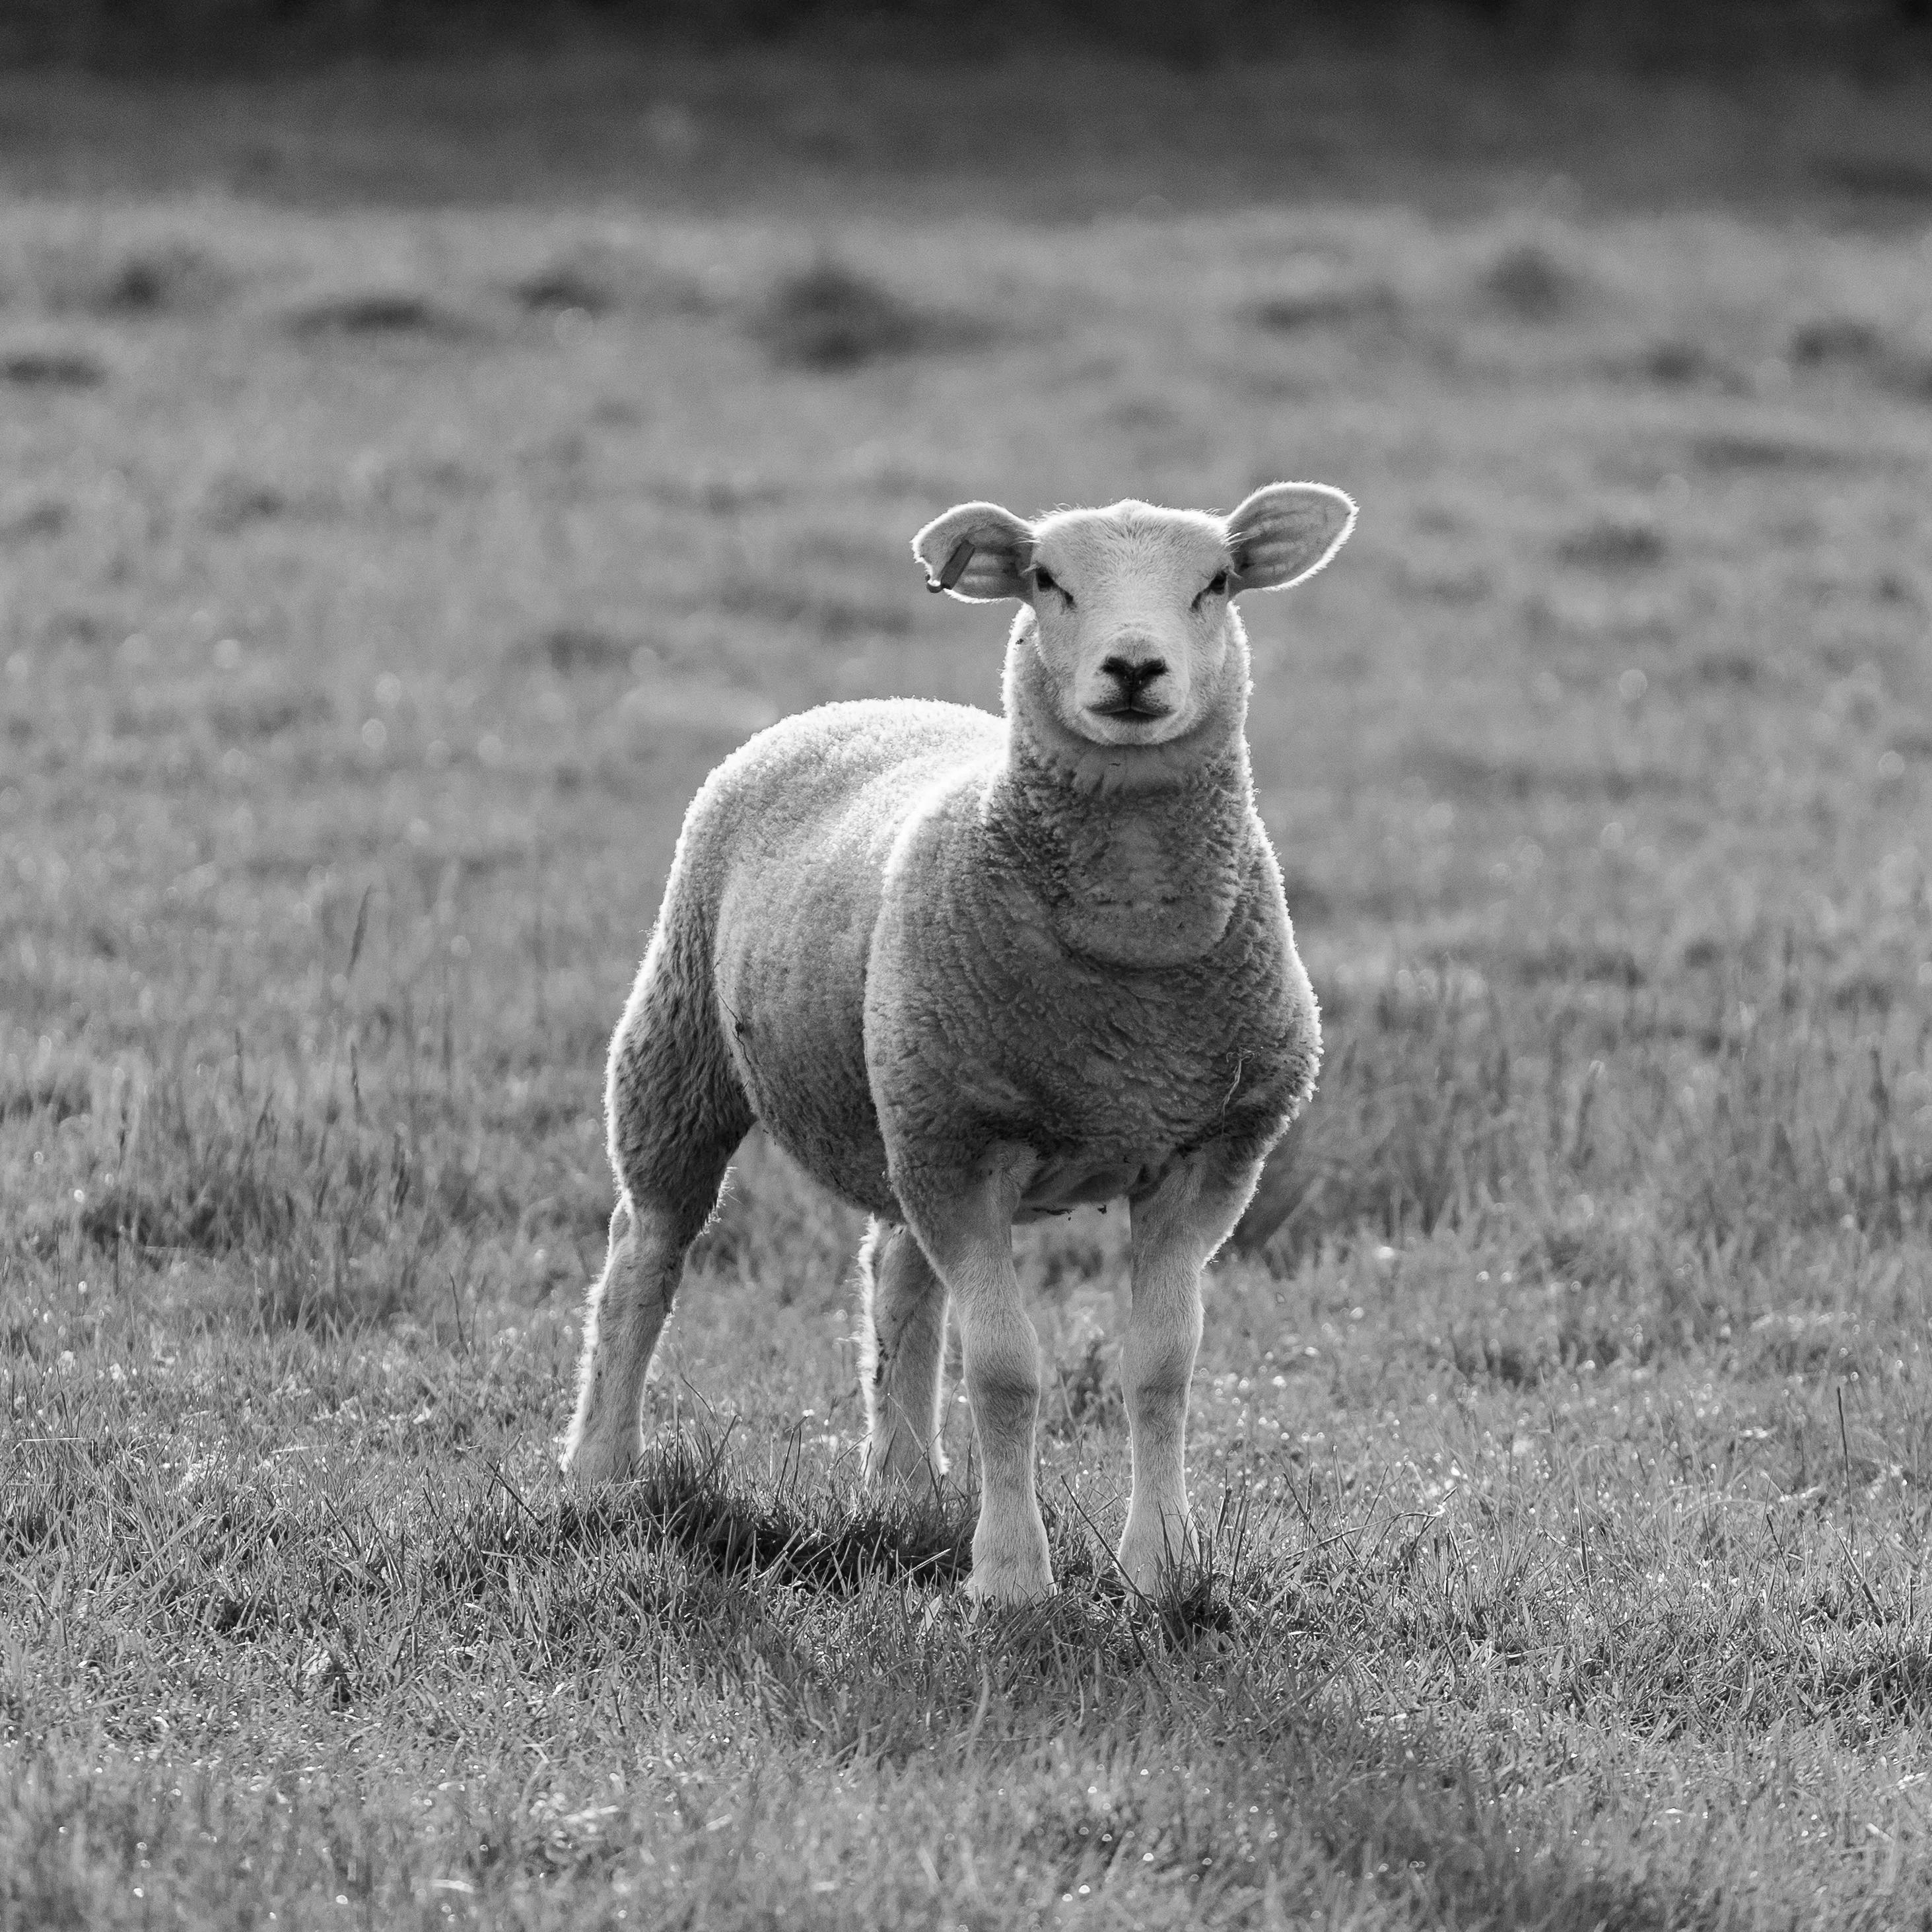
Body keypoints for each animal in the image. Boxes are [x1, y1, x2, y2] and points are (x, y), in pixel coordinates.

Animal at [562, 483, 1356, 1604]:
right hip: (686, 1044)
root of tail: (865, 704)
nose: (1134, 668)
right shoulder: (965, 1149)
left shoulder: (1207, 1154)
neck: (1128, 971)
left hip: (902, 1097)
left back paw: (903, 1485)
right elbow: (1006, 1371)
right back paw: (600, 1470)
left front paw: (1160, 1565)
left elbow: (1161, 1364)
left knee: (896, 1275)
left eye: (1217, 583)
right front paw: (1012, 1578)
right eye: (1045, 580)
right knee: (644, 1256)